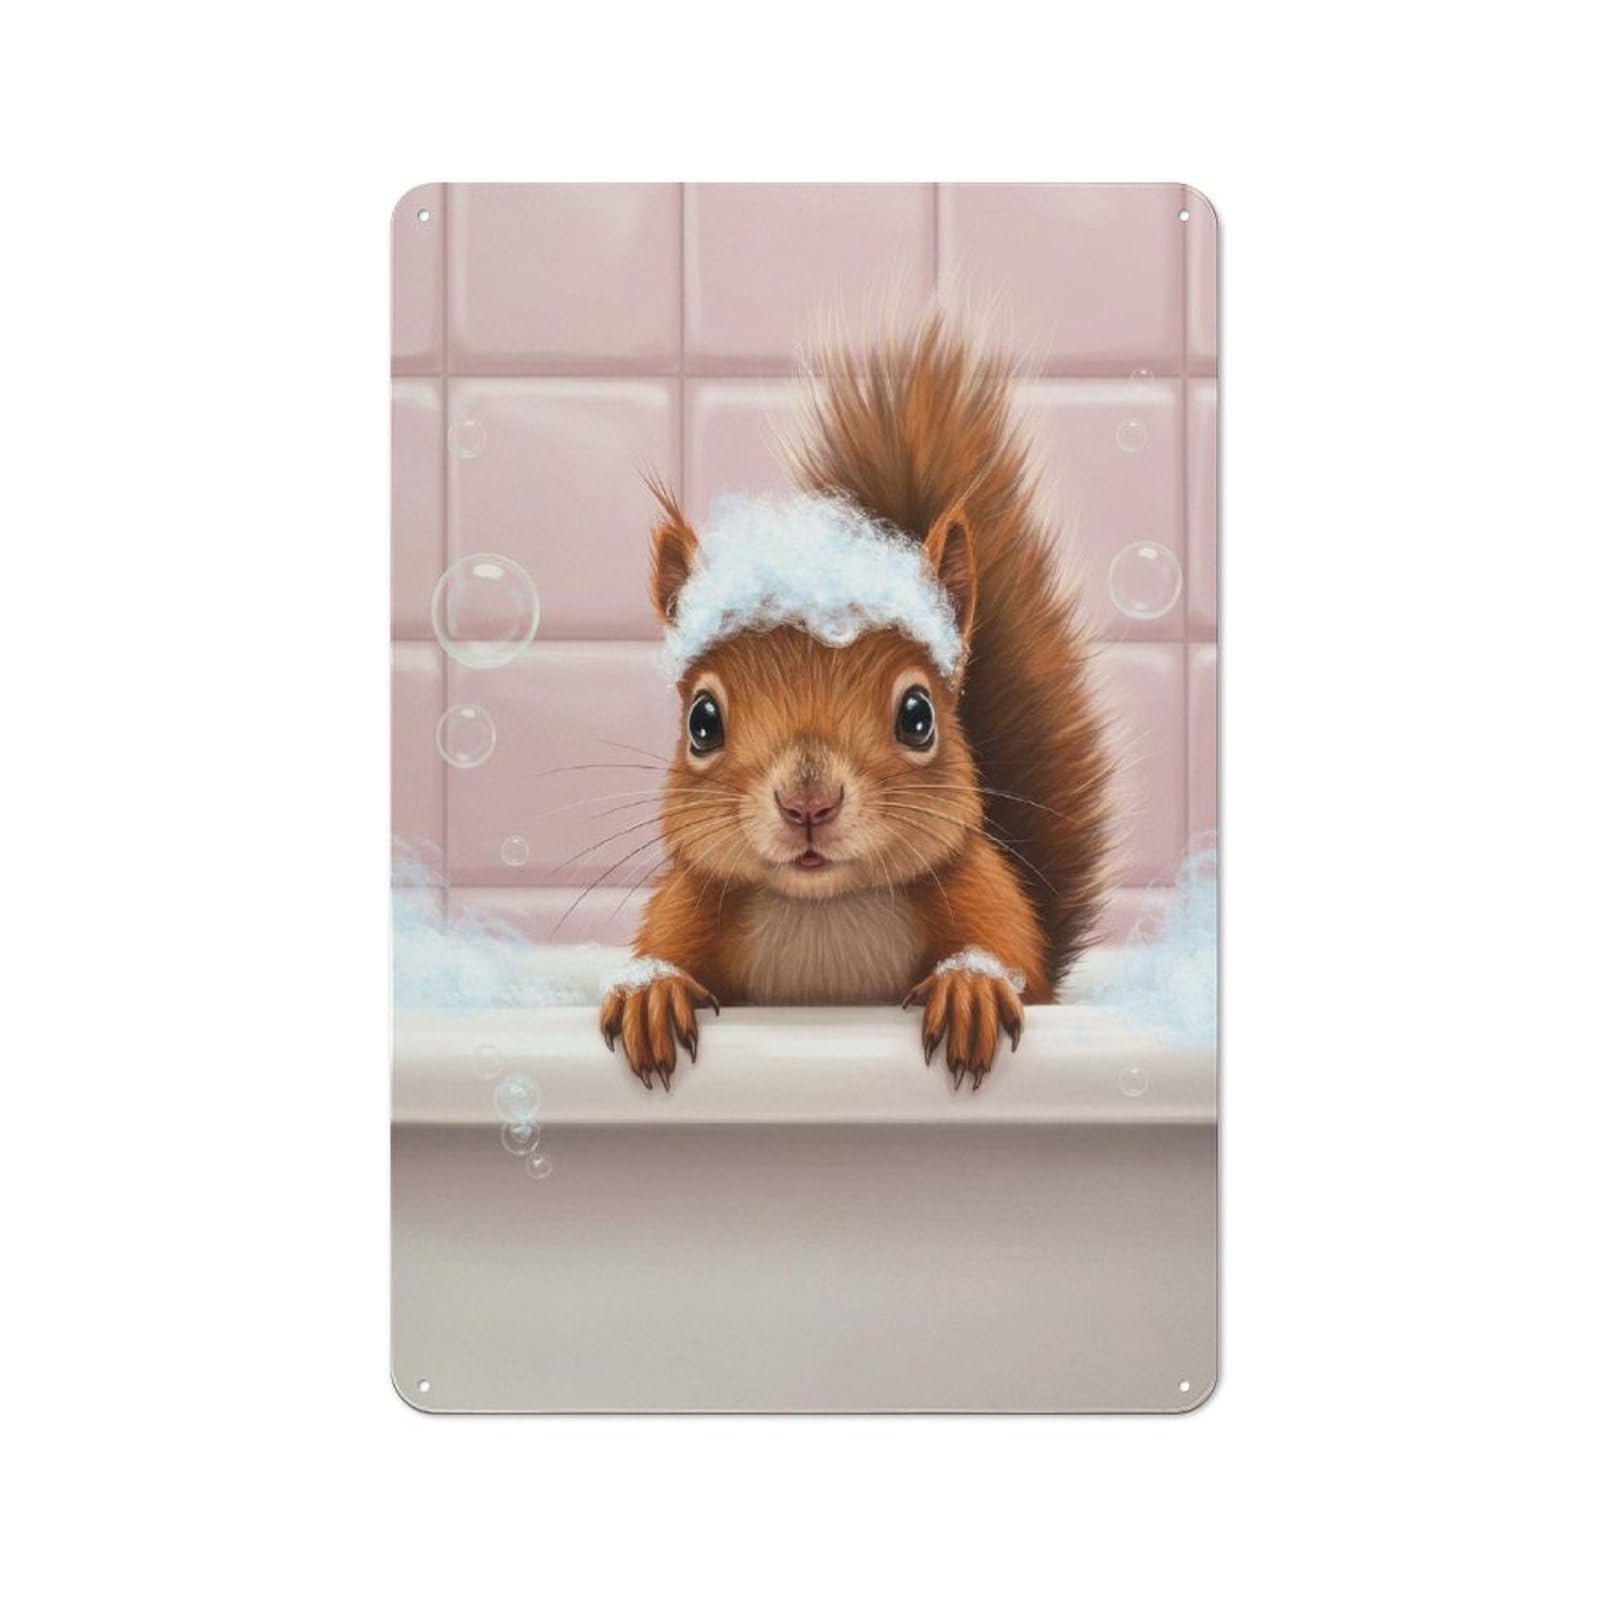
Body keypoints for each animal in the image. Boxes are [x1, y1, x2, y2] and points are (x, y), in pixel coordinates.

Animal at [599, 313, 1113, 1090]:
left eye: (918, 715)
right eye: (702, 722)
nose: (808, 803)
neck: (824, 913)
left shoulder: (987, 894)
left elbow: (1012, 957)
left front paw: (971, 985)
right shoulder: (684, 906)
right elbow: (664, 952)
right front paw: (651, 992)